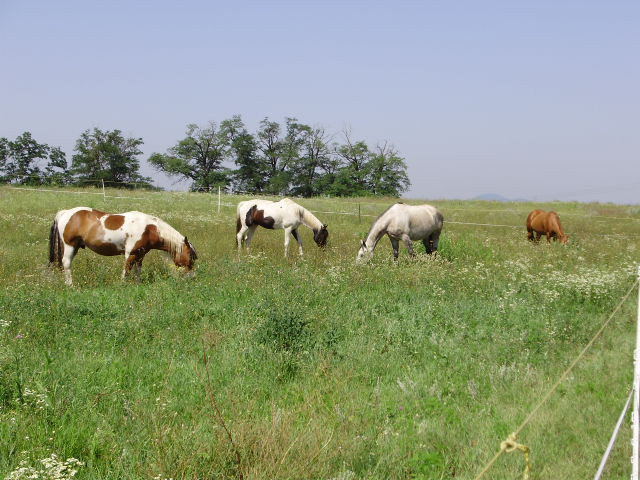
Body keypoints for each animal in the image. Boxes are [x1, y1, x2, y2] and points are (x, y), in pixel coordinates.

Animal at [48, 207, 198, 284]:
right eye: (191, 256)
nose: (192, 277)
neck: (149, 229)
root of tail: (64, 212)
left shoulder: (140, 254)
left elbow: (138, 271)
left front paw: (138, 284)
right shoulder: (130, 253)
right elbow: (126, 270)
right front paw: (123, 285)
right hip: (70, 245)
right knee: (66, 263)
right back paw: (70, 285)